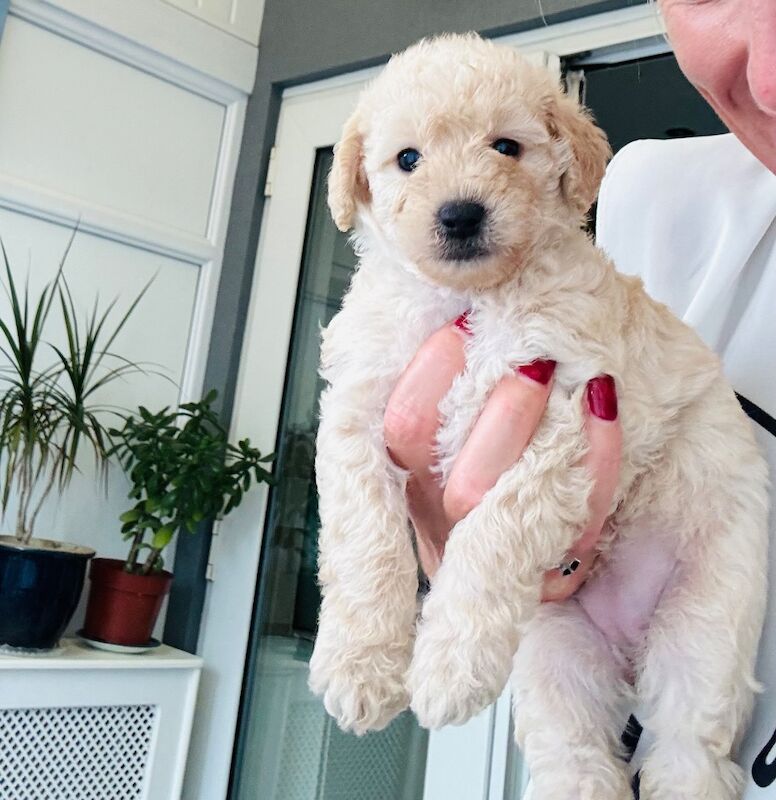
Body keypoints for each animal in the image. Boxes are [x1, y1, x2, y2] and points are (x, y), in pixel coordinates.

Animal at [306, 32, 768, 800]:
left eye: (506, 147)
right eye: (408, 159)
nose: (460, 214)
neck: (471, 299)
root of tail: (627, 647)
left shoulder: (565, 418)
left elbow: (491, 537)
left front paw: (446, 666)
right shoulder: (357, 412)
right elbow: (363, 540)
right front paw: (358, 666)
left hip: (708, 616)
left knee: (688, 743)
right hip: (557, 649)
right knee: (573, 749)